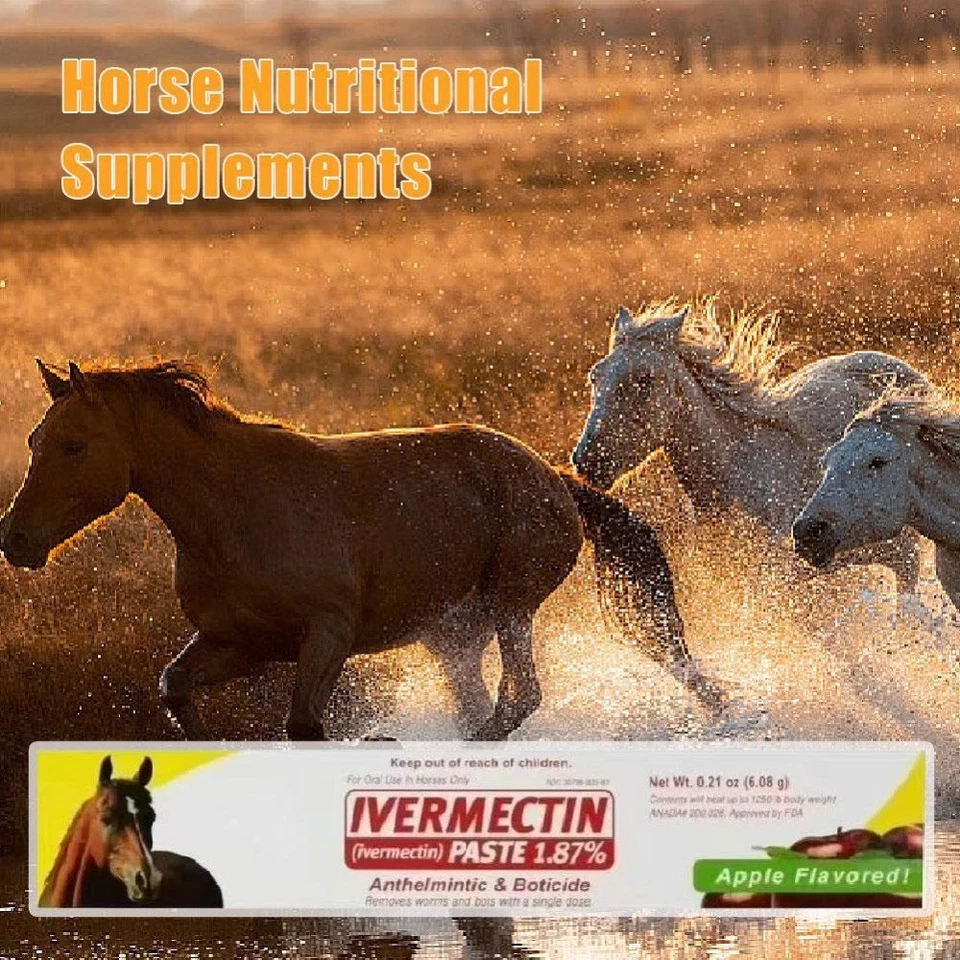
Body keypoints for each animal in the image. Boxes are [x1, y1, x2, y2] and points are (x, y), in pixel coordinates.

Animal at [0, 360, 725, 743]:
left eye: (74, 445)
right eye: (36, 440)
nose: (16, 540)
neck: (230, 512)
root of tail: (551, 477)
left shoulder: (328, 634)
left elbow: (303, 726)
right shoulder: (241, 643)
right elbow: (176, 690)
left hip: (510, 605)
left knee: (519, 698)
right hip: (454, 635)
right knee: (485, 702)